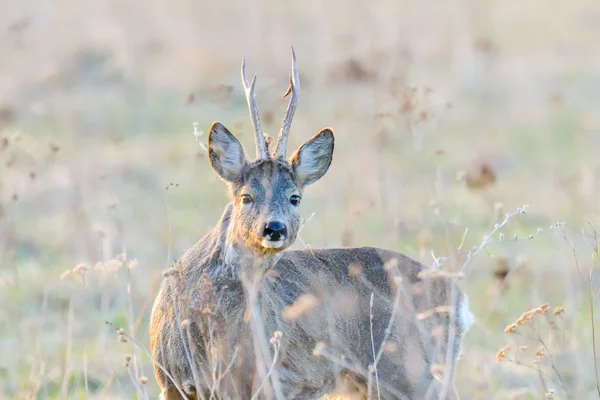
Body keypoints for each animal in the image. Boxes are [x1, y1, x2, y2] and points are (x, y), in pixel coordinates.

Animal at [150, 48, 474, 398]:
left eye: (295, 197)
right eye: (246, 196)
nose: (274, 228)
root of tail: (459, 300)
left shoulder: (261, 379)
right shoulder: (171, 381)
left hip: (413, 372)